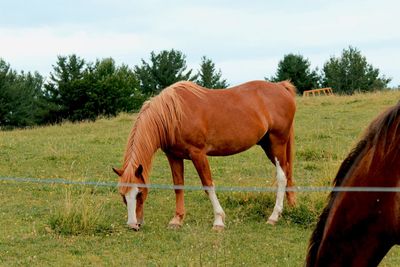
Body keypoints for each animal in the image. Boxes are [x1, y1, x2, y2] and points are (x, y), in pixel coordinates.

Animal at [112, 80, 296, 231]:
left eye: (139, 193)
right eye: (122, 195)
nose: (133, 225)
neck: (173, 115)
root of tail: (281, 86)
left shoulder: (198, 154)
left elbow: (208, 185)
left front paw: (218, 221)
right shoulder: (173, 156)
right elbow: (178, 186)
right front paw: (177, 220)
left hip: (277, 143)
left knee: (281, 176)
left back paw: (274, 216)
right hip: (268, 145)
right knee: (287, 172)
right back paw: (291, 206)